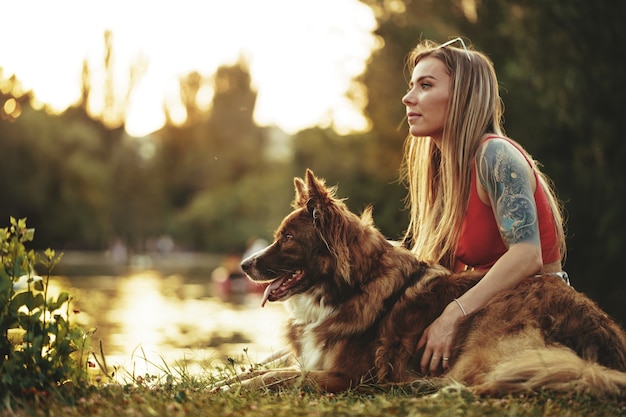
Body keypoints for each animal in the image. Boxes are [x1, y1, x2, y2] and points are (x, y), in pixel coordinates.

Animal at [218, 168, 624, 394]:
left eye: (288, 238)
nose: (245, 265)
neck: (350, 287)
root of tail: (599, 329)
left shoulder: (346, 377)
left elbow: (279, 379)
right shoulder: (314, 364)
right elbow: (267, 372)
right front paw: (222, 384)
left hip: (482, 340)